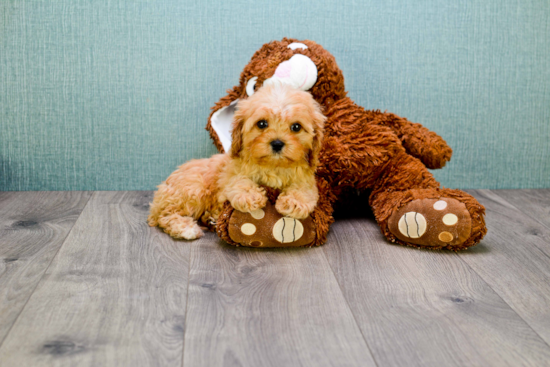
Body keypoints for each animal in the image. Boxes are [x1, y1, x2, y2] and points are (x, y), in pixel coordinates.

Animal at [149, 85, 326, 243]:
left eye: (296, 127)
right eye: (262, 124)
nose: (277, 143)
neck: (273, 166)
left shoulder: (307, 178)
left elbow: (304, 189)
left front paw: (294, 202)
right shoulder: (230, 174)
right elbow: (238, 181)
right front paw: (251, 196)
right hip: (192, 190)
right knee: (165, 215)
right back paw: (186, 228)